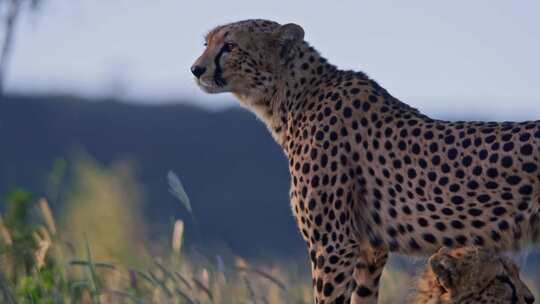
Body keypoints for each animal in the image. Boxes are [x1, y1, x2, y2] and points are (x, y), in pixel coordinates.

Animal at [191, 19, 540, 304]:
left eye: (230, 46)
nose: (196, 69)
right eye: (206, 43)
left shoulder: (333, 244)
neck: (290, 99)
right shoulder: (369, 248)